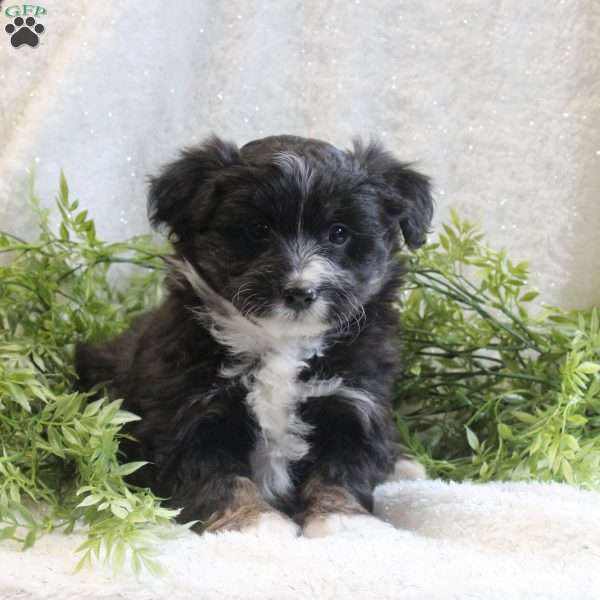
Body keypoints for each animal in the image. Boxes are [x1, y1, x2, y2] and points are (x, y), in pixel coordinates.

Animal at [75, 134, 434, 536]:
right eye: (259, 231)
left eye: (339, 233)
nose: (300, 291)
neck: (282, 343)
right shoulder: (189, 414)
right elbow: (219, 478)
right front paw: (254, 524)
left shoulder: (354, 404)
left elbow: (340, 471)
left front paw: (343, 520)